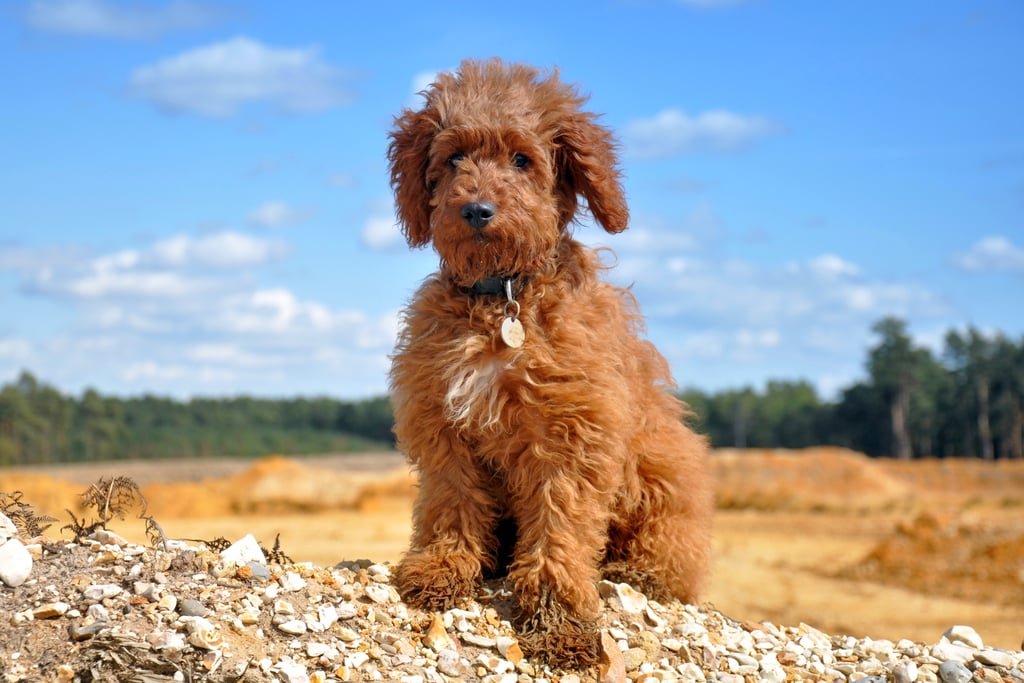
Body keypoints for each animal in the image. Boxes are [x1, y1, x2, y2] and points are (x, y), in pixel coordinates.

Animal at [385, 58, 712, 667]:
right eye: (454, 158)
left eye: (522, 159)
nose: (477, 210)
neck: (502, 297)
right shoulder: (442, 423)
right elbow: (452, 501)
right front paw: (444, 568)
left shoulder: (572, 432)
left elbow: (560, 526)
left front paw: (560, 619)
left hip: (663, 477)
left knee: (670, 560)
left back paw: (636, 573)